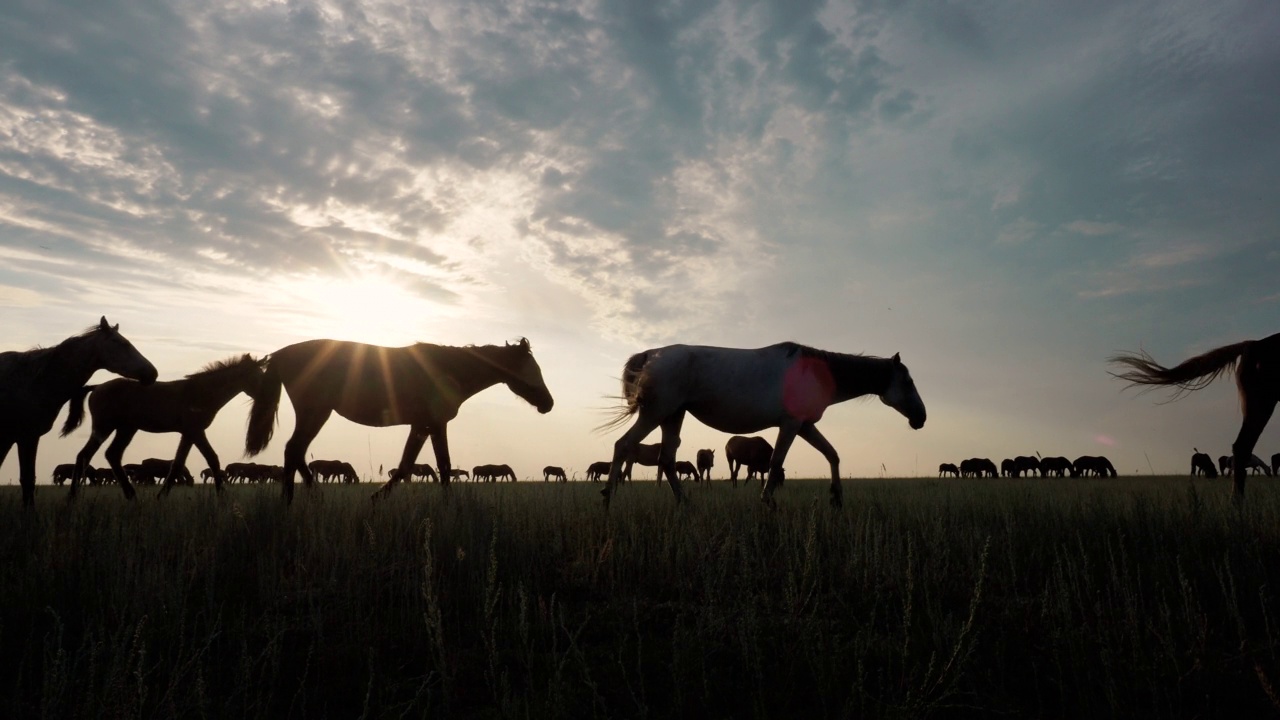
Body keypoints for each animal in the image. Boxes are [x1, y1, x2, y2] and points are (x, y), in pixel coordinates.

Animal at [0, 316, 157, 507]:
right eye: (120, 342)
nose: (152, 373)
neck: (33, 381)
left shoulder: (11, 438)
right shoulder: (26, 437)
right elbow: (28, 480)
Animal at [64, 353, 267, 499]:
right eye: (259, 376)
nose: (267, 396)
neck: (201, 393)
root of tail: (96, 387)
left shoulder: (188, 434)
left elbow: (177, 464)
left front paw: (162, 495)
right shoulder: (196, 431)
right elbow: (212, 458)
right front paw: (222, 495)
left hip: (126, 429)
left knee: (110, 454)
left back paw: (130, 494)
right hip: (105, 427)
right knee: (86, 455)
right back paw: (73, 496)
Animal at [247, 338, 552, 502]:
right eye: (532, 369)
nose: (548, 404)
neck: (449, 369)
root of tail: (281, 354)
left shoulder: (423, 425)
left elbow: (414, 465)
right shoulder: (433, 424)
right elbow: (437, 466)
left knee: (295, 452)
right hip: (315, 412)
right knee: (294, 450)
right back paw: (300, 500)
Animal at [593, 340, 926, 504]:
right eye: (908, 382)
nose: (921, 418)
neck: (814, 373)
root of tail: (652, 354)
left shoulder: (804, 425)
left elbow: (832, 455)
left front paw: (836, 497)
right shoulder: (791, 425)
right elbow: (776, 464)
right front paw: (767, 501)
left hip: (672, 416)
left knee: (666, 459)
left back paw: (684, 503)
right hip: (655, 413)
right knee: (623, 445)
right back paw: (608, 498)